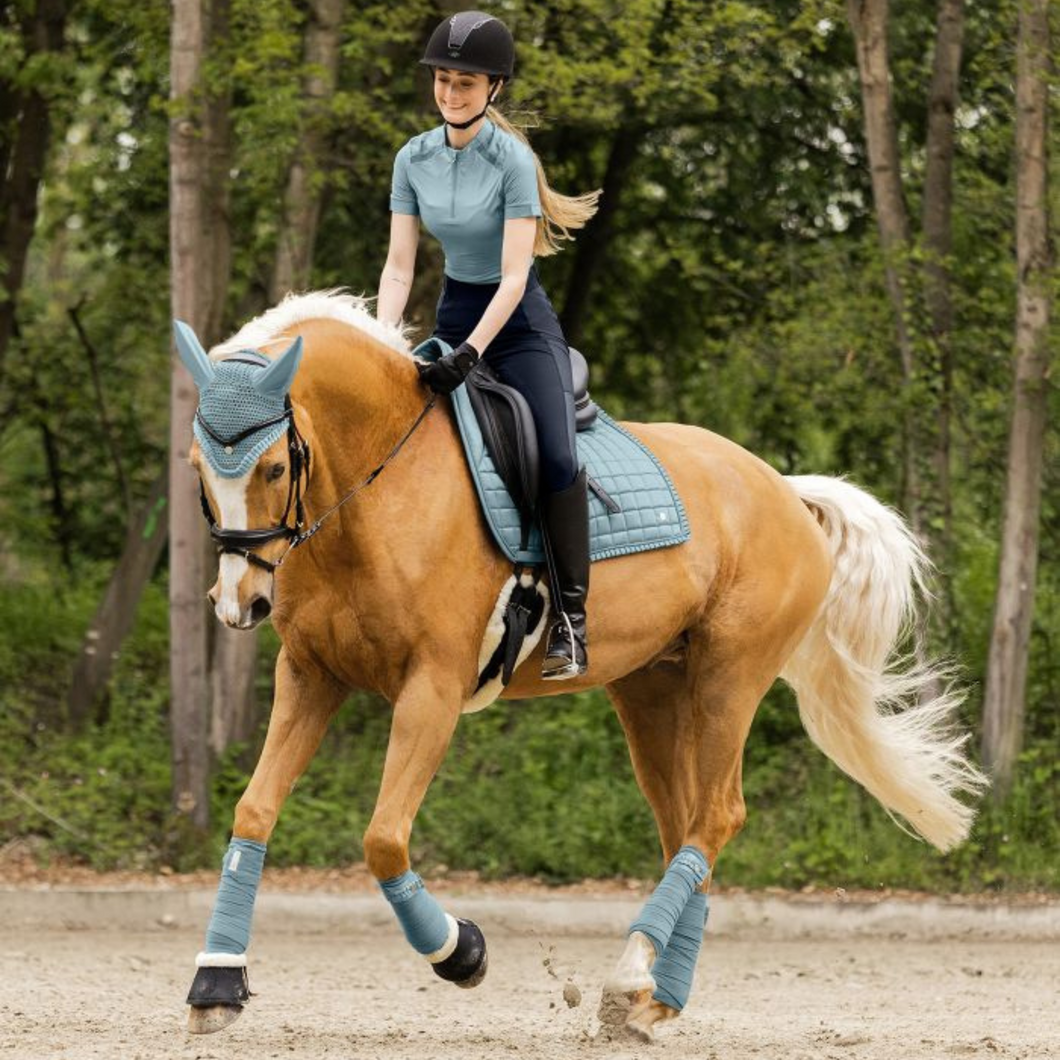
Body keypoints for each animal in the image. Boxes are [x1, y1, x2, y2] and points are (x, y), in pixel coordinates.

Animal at [171, 292, 983, 1043]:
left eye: (275, 465)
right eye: (198, 469)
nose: (239, 603)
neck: (378, 485)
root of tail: (784, 489)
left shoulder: (432, 687)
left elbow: (383, 839)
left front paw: (462, 953)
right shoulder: (312, 675)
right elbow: (255, 810)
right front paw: (216, 984)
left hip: (730, 678)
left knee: (718, 814)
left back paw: (628, 976)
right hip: (651, 690)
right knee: (685, 827)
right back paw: (654, 998)